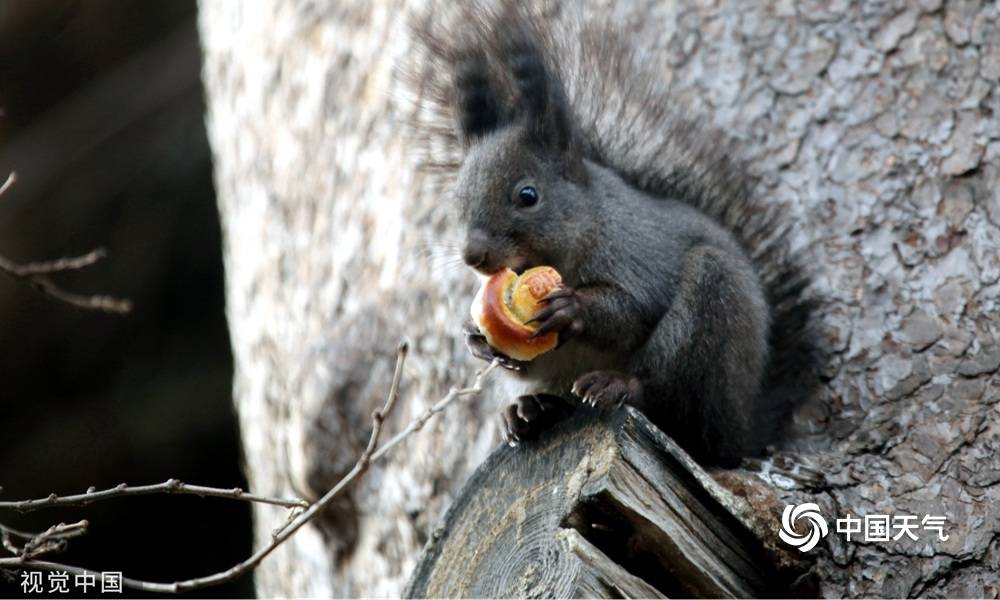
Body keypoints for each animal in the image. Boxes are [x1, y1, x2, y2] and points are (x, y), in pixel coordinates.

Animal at [406, 1, 820, 468]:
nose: (473, 256)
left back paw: (616, 387)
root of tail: (744, 430)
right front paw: (476, 340)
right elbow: (524, 360)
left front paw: (573, 308)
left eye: (528, 195)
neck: (587, 231)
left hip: (711, 312)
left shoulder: (637, 257)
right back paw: (530, 409)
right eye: (457, 198)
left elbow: (632, 311)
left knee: (674, 405)